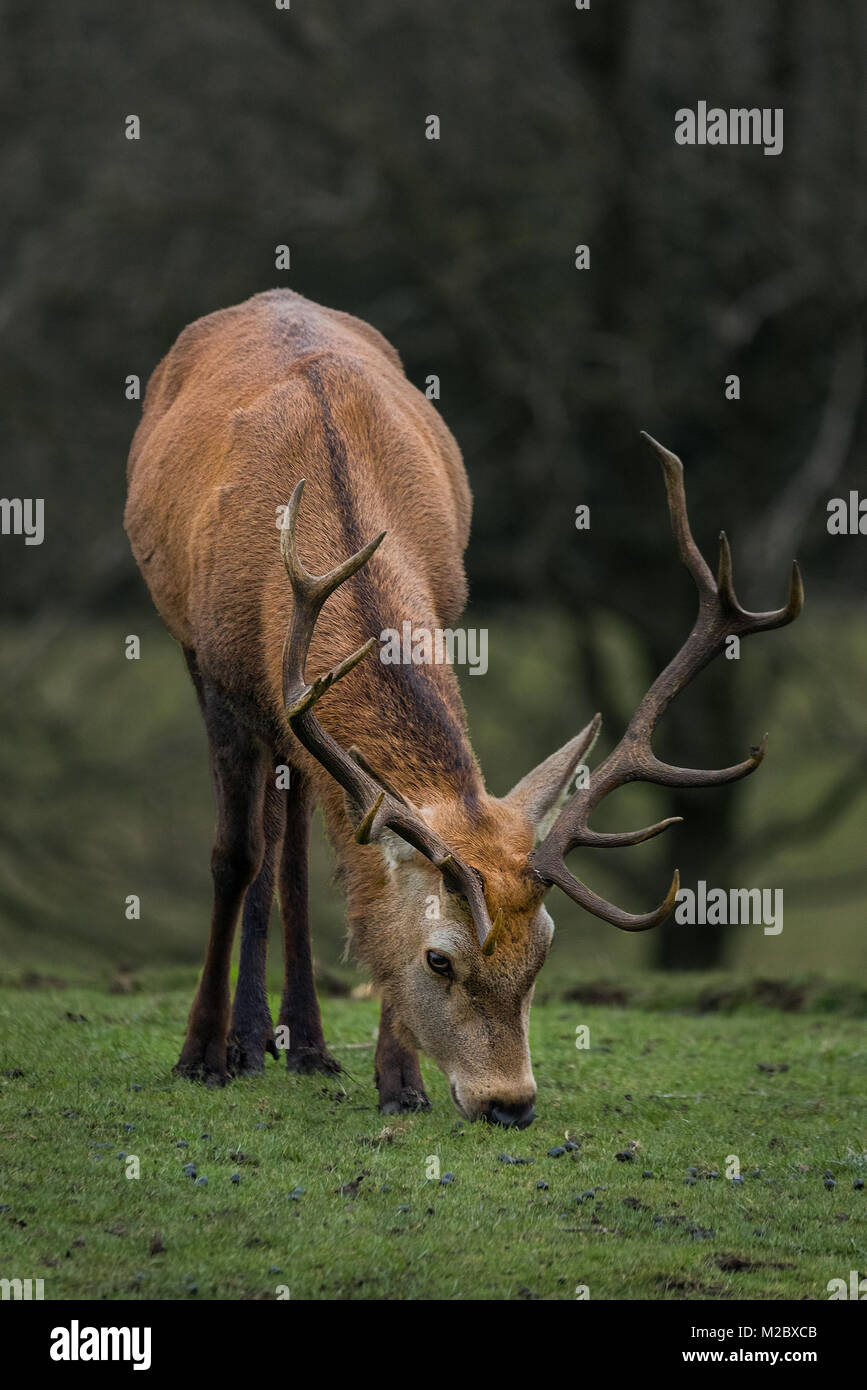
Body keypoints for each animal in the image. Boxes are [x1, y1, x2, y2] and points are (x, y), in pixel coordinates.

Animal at [124, 289, 803, 1129]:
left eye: (543, 952)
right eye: (439, 958)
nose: (508, 1101)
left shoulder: (443, 611)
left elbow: (361, 879)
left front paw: (399, 1080)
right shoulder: (216, 669)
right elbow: (232, 856)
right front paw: (199, 1056)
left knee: (298, 844)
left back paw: (305, 1045)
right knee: (262, 844)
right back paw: (246, 1044)